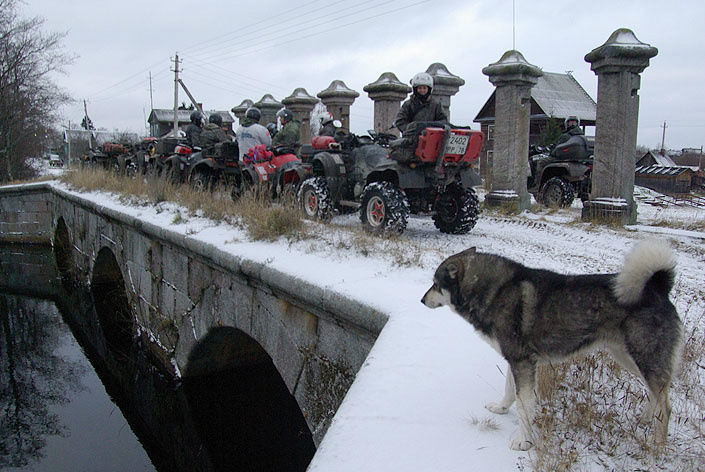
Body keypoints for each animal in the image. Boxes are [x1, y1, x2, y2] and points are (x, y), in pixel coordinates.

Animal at [420, 242, 680, 452]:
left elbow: (524, 406)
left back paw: (657, 445)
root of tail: (657, 287)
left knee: (666, 405)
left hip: (644, 359)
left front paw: (523, 442)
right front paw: (502, 408)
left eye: (435, 284)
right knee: (657, 394)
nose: (421, 300)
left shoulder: (523, 363)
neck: (495, 290)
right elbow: (509, 390)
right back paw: (646, 419)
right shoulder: (516, 360)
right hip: (628, 357)